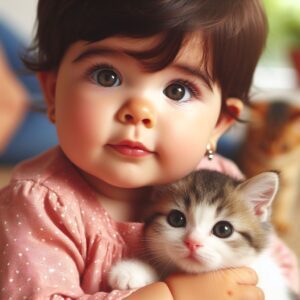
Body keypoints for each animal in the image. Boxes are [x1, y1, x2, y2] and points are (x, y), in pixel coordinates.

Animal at [240, 101, 300, 232]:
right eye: (262, 146)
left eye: (285, 147)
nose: (273, 160)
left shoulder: (290, 183)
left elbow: (284, 202)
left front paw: (281, 221)